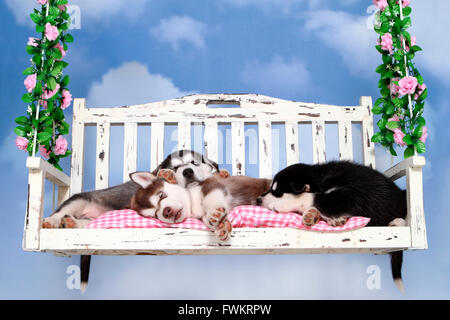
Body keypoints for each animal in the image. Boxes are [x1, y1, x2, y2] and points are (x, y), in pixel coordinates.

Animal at [130, 170, 270, 240]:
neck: (193, 205)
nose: (166, 212)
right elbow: (206, 220)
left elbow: (211, 199)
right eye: (154, 215)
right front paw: (222, 226)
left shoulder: (212, 185)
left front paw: (215, 214)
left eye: (161, 195)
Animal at [256, 161, 408, 292]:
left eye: (277, 191)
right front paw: (313, 215)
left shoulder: (353, 195)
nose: (258, 200)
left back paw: (397, 222)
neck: (321, 178)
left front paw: (281, 205)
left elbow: (310, 196)